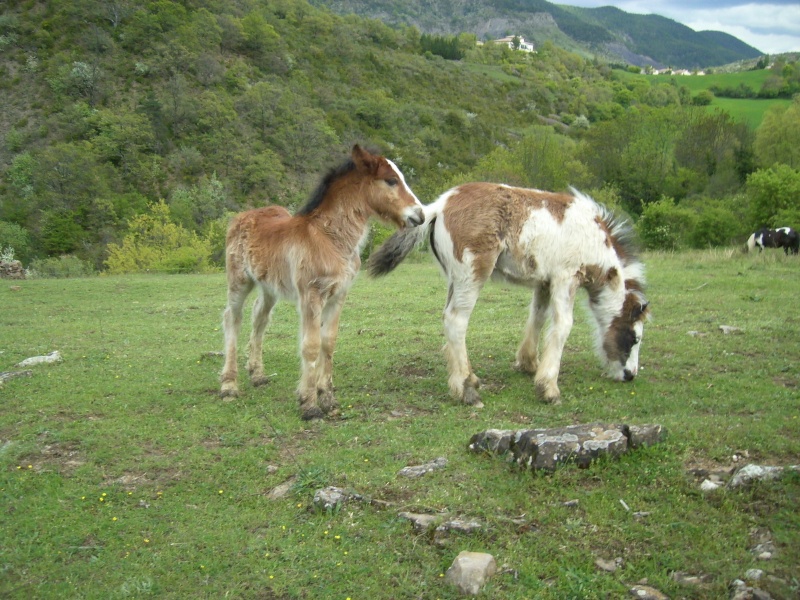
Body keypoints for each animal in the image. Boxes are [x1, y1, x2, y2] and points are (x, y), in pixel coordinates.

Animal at [219, 145, 424, 420]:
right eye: (391, 180)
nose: (419, 215)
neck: (329, 237)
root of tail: (241, 216)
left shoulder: (338, 295)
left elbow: (328, 343)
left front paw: (328, 398)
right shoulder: (311, 294)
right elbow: (311, 345)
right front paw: (309, 404)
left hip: (270, 286)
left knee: (259, 317)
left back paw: (257, 374)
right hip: (239, 280)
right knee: (233, 318)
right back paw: (229, 386)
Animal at [368, 183, 648, 406]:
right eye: (634, 338)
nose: (631, 375)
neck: (594, 239)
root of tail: (439, 205)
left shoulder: (544, 282)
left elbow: (538, 317)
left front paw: (529, 364)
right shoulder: (565, 277)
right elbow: (563, 325)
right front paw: (548, 388)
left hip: (455, 279)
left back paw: (468, 379)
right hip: (472, 273)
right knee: (456, 320)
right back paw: (466, 390)